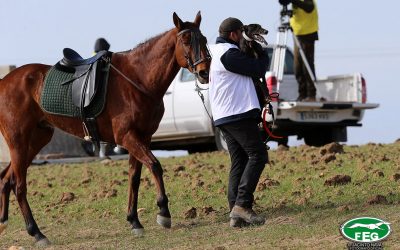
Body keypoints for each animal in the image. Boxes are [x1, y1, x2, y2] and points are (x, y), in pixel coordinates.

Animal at [0, 11, 211, 246]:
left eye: (203, 40)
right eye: (186, 41)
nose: (204, 72)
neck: (137, 79)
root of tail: (4, 81)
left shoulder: (142, 138)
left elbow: (135, 177)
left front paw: (134, 221)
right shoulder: (128, 137)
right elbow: (155, 166)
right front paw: (163, 212)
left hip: (36, 140)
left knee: (6, 179)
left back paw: (5, 223)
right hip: (19, 142)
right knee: (19, 185)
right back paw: (36, 233)